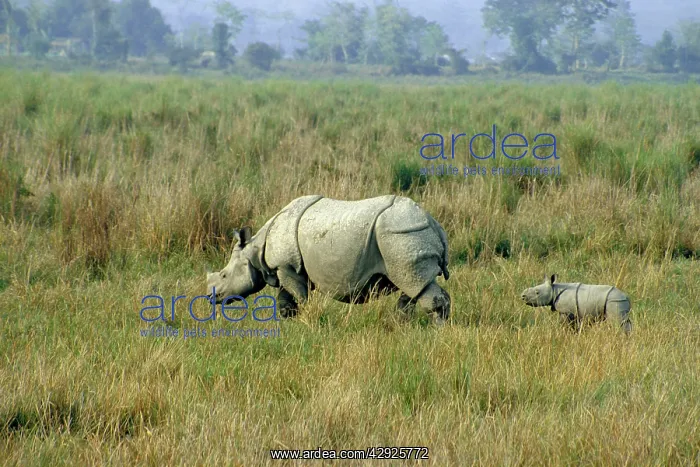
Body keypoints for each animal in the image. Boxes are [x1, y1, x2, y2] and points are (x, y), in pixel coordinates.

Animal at [206, 195, 451, 323]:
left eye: (224, 275)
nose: (211, 298)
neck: (255, 249)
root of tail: (432, 222)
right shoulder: (285, 268)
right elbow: (285, 298)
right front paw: (287, 320)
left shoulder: (287, 266)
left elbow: (300, 296)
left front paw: (303, 319)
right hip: (406, 237)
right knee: (413, 284)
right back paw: (401, 324)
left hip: (401, 234)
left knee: (415, 283)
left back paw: (436, 328)